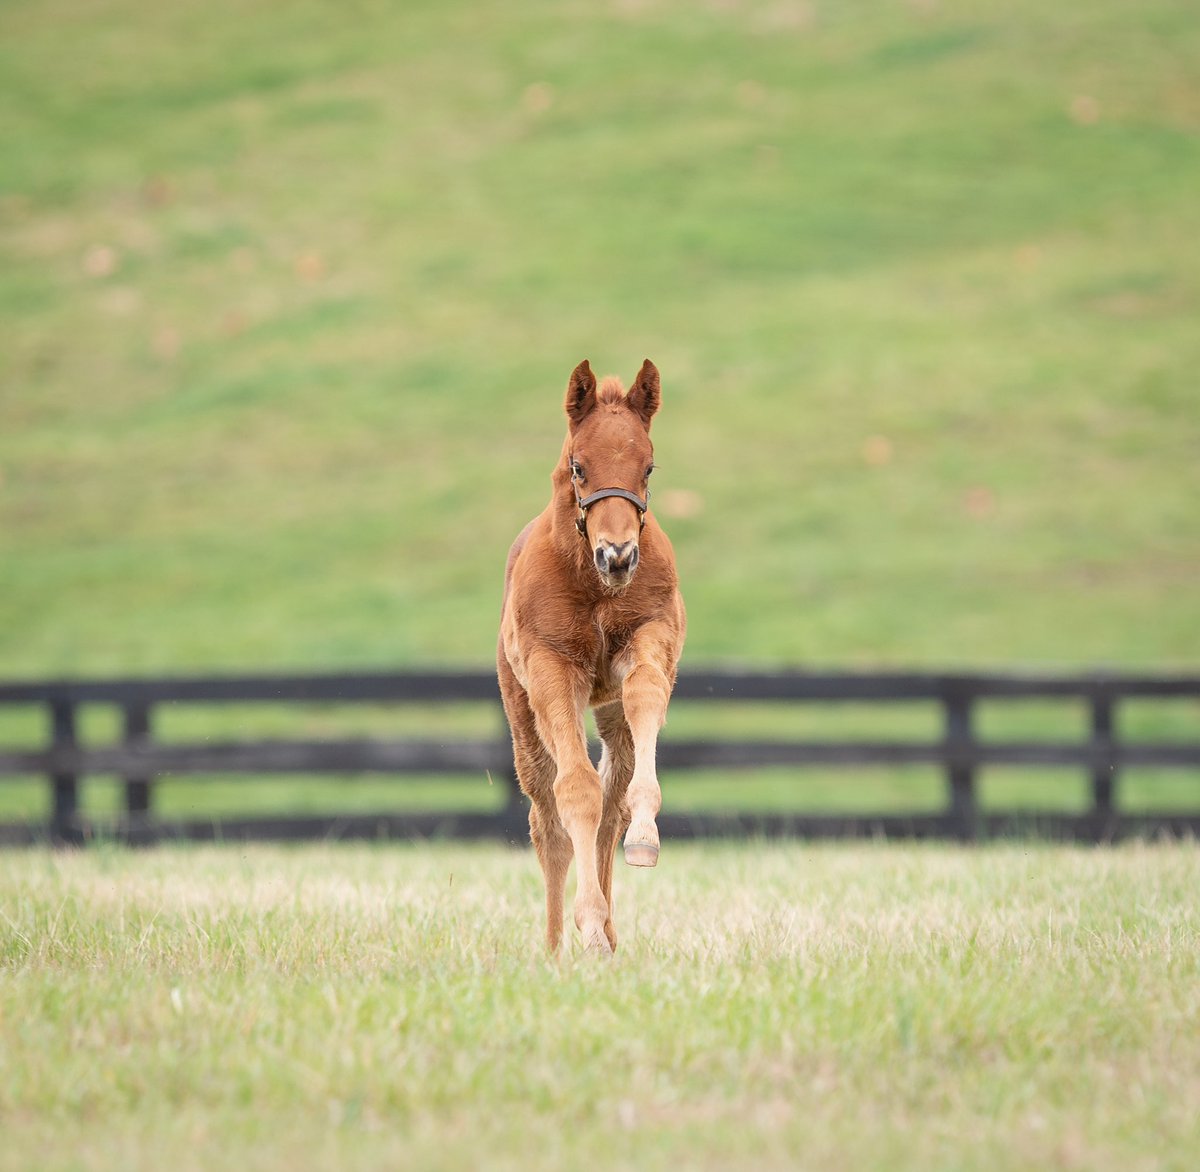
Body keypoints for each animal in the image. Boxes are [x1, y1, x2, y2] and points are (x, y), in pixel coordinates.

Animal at [497, 359, 687, 954]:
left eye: (648, 467)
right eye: (579, 467)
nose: (618, 555)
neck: (593, 583)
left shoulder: (650, 637)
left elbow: (645, 697)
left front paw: (646, 837)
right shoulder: (552, 669)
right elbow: (575, 791)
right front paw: (586, 926)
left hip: (608, 710)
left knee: (610, 808)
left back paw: (610, 930)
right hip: (522, 715)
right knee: (546, 819)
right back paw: (559, 946)